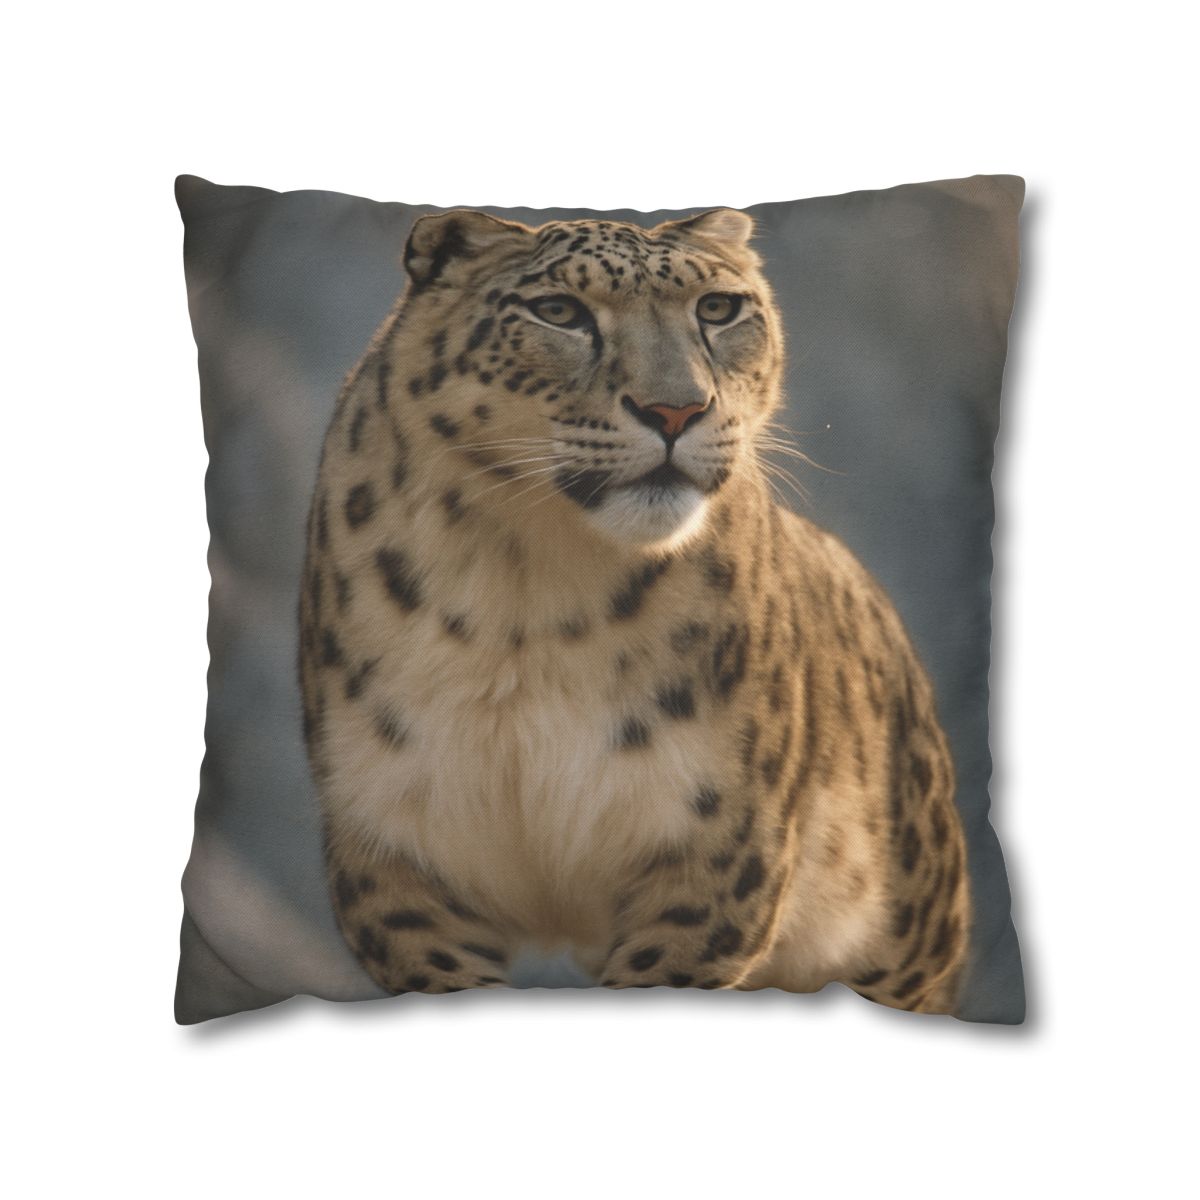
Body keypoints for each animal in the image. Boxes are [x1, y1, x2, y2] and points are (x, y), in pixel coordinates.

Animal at [298, 205, 970, 1014]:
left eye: (718, 308)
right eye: (559, 312)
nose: (675, 409)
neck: (526, 590)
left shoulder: (716, 849)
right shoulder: (395, 851)